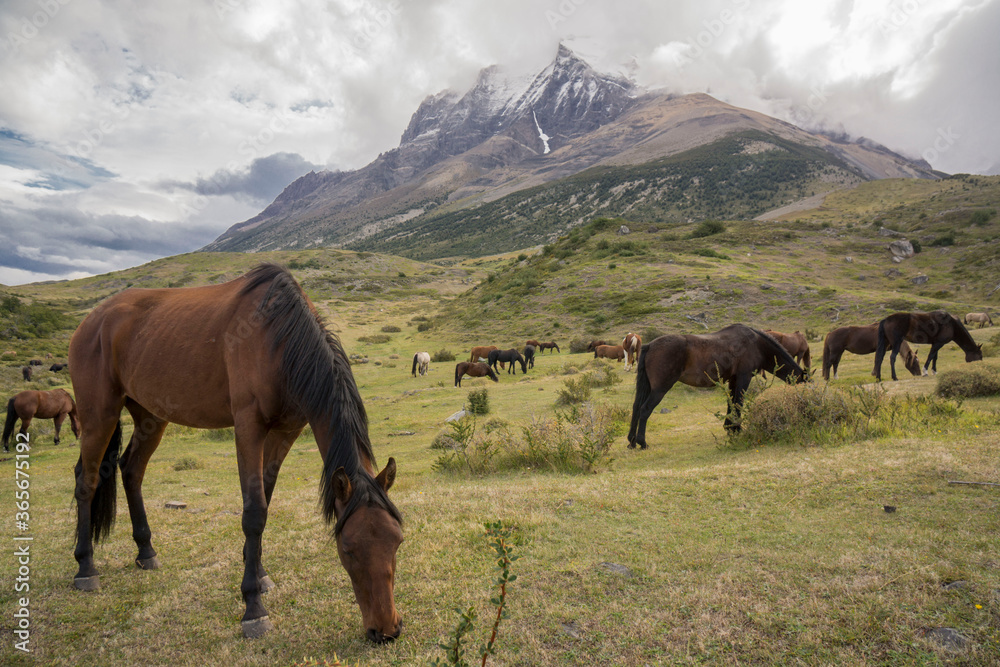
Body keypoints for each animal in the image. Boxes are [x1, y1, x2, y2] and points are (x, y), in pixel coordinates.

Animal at [66, 264, 404, 640]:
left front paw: (259, 572)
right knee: (87, 481)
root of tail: (92, 319)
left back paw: (146, 551)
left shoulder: (285, 432)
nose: (386, 631)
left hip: (150, 417)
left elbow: (266, 499)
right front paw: (253, 607)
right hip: (100, 414)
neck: (279, 339)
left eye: (397, 541)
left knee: (131, 470)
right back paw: (85, 568)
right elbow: (254, 512)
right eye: (348, 548)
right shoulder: (248, 428)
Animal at [628, 324, 808, 448]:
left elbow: (731, 403)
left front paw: (730, 428)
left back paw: (631, 441)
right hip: (660, 389)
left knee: (636, 408)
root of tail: (650, 345)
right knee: (645, 409)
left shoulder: (732, 380)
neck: (757, 344)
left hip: (648, 388)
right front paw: (736, 429)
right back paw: (642, 442)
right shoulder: (743, 377)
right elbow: (738, 403)